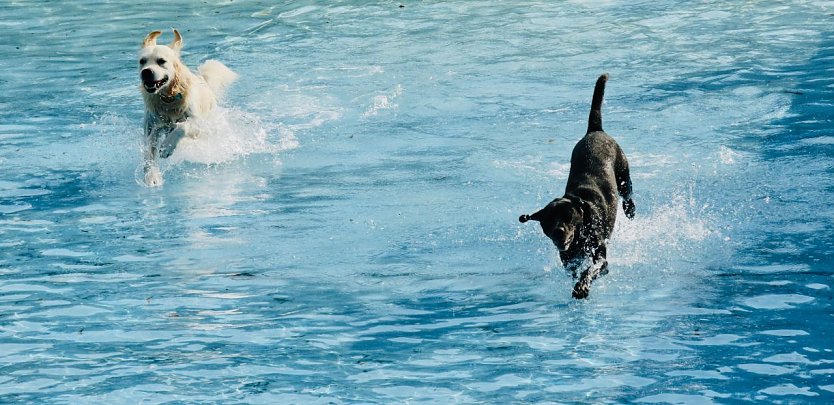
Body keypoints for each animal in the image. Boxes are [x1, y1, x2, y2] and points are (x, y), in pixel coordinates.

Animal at [138, 29, 237, 185]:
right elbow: (149, 153)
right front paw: (151, 176)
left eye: (161, 61)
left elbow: (182, 127)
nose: (146, 72)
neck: (168, 99)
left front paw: (167, 147)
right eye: (142, 61)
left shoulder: (197, 123)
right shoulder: (151, 130)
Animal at [516, 74, 632, 298]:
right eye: (547, 221)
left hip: (623, 173)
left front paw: (582, 287)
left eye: (568, 216)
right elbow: (576, 270)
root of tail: (595, 130)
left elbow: (591, 270)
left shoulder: (601, 259)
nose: (559, 232)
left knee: (628, 194)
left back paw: (630, 209)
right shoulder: (568, 260)